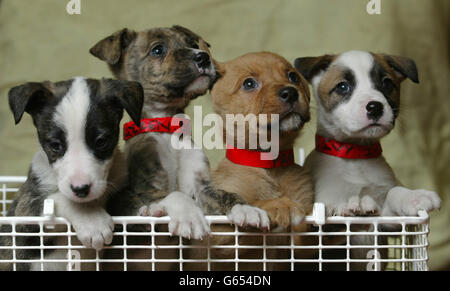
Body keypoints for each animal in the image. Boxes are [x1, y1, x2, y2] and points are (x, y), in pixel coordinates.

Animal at [0, 77, 143, 272]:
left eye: (101, 141)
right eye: (55, 145)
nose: (81, 189)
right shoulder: (23, 215)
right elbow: (58, 198)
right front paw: (91, 219)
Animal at [298, 50, 442, 272]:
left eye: (386, 83)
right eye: (342, 87)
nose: (375, 107)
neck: (355, 155)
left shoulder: (386, 223)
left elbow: (394, 192)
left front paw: (414, 196)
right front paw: (346, 207)